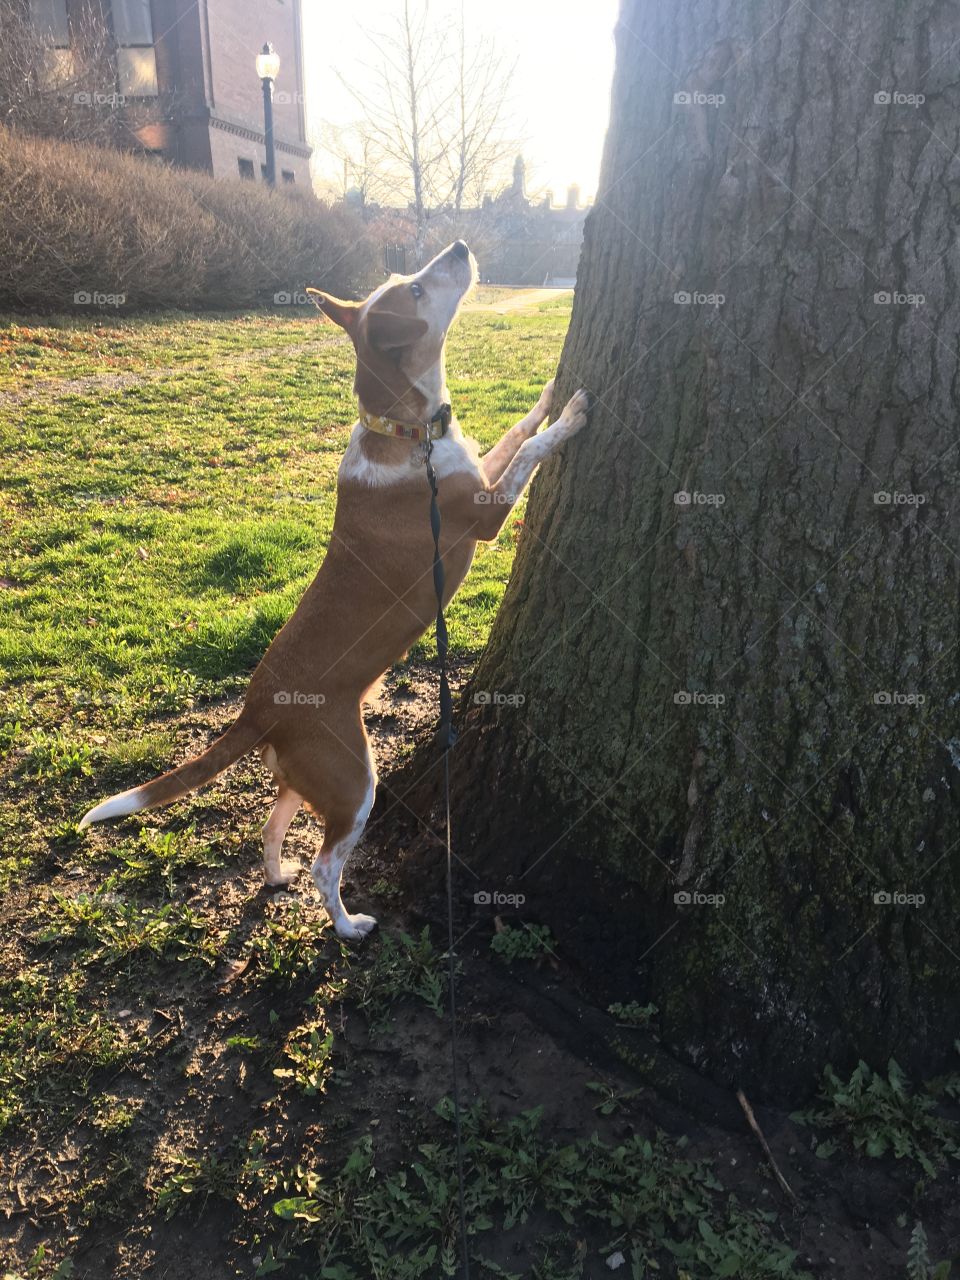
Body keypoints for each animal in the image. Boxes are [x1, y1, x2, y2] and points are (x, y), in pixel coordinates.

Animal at [80, 240, 593, 942]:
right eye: (415, 289)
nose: (460, 246)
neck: (405, 433)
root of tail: (257, 708)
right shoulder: (486, 513)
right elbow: (529, 452)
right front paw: (569, 417)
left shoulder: (477, 470)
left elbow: (515, 432)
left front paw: (546, 397)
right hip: (354, 781)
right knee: (328, 864)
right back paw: (349, 926)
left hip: (303, 778)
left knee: (270, 828)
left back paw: (276, 877)